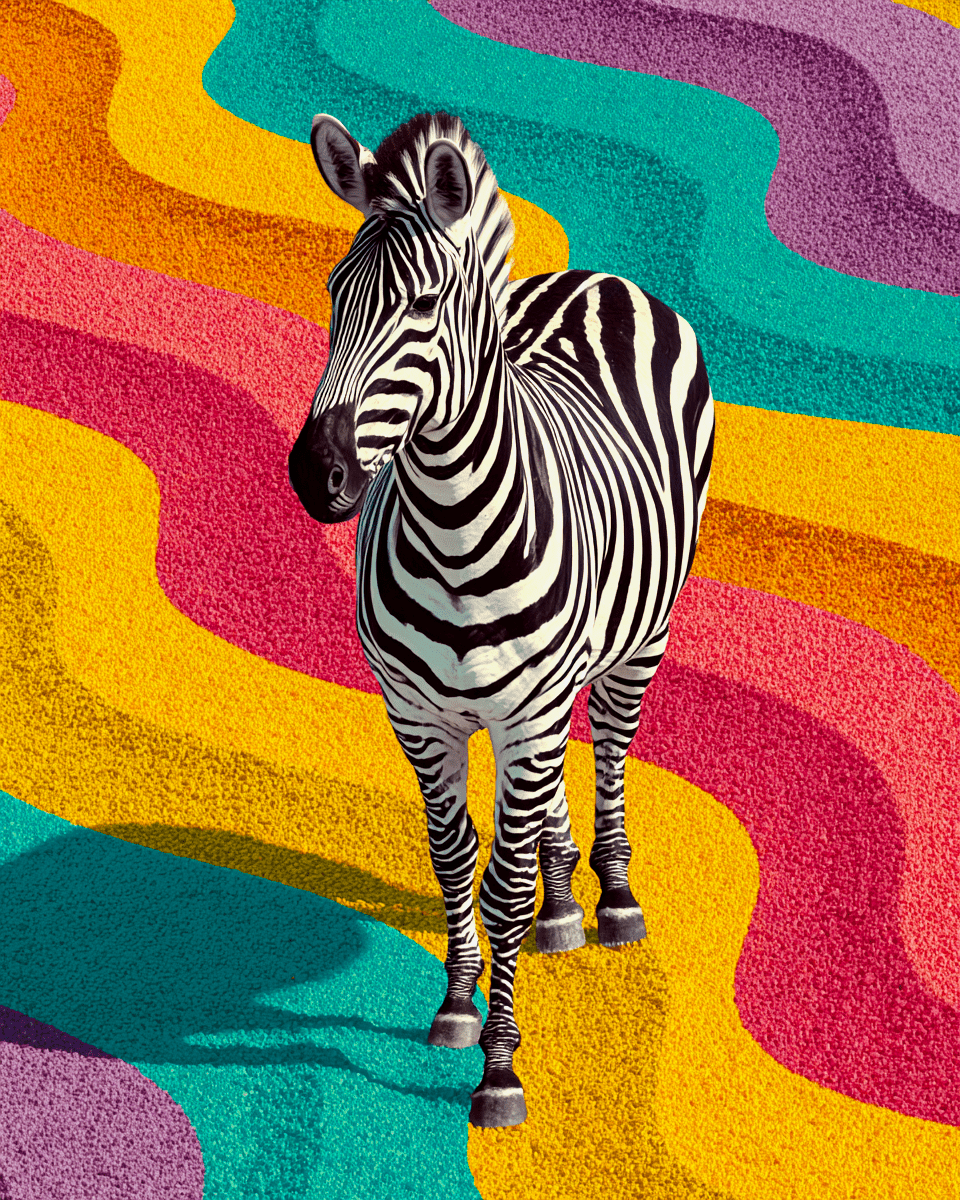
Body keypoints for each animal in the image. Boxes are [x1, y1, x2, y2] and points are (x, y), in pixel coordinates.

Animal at [288, 111, 714, 1129]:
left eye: (424, 304)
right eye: (332, 293)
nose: (316, 475)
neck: (454, 531)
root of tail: (595, 279)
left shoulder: (527, 711)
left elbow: (505, 888)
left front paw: (501, 1070)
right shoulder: (419, 715)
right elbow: (454, 861)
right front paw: (455, 1005)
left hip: (638, 642)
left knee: (609, 755)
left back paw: (611, 897)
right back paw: (566, 901)